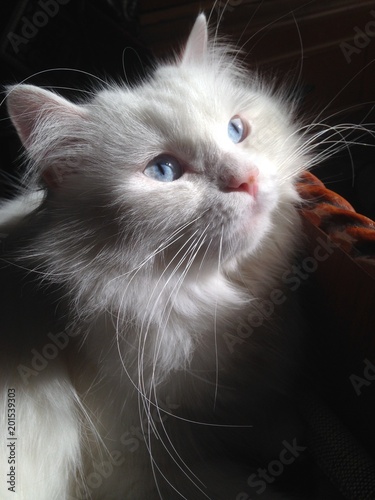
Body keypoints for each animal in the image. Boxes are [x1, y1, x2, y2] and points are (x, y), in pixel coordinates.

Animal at [0, 13, 312, 498]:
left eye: (236, 131)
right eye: (163, 171)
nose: (247, 180)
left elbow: (279, 427)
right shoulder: (139, 471)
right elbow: (251, 482)